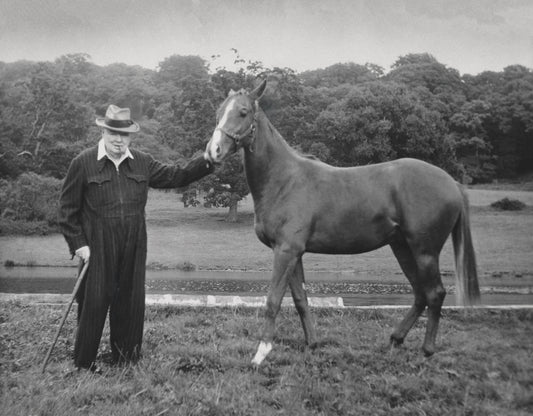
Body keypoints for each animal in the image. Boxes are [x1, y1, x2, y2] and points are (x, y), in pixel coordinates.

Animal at [203, 79, 478, 366]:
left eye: (243, 112)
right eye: (218, 112)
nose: (213, 151)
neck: (285, 179)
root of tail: (452, 183)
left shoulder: (286, 251)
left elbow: (273, 300)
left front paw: (262, 352)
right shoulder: (294, 253)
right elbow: (300, 299)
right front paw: (312, 344)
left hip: (425, 252)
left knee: (435, 293)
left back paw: (426, 349)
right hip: (402, 248)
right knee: (420, 293)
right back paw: (396, 339)